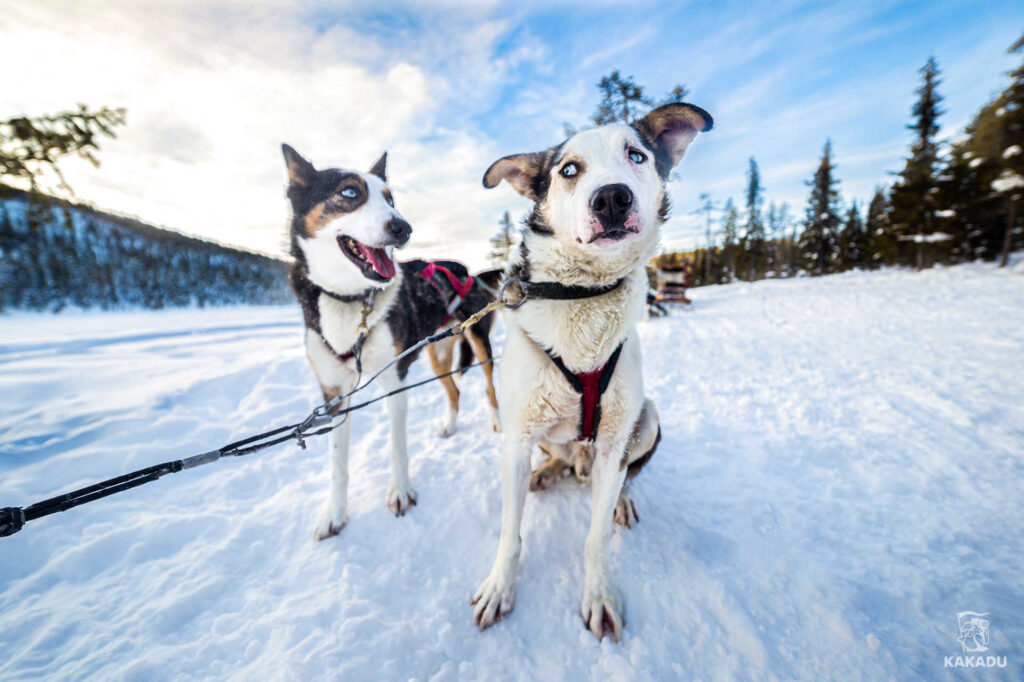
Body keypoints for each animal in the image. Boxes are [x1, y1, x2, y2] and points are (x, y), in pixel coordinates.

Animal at [284, 143, 499, 536]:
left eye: (390, 199)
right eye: (349, 193)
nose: (403, 227)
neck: (351, 300)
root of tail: (467, 271)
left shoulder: (395, 381)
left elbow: (398, 447)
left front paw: (400, 493)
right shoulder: (335, 394)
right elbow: (337, 463)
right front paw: (334, 513)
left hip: (477, 340)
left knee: (490, 385)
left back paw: (496, 421)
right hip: (437, 355)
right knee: (455, 390)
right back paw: (449, 425)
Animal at [468, 103, 712, 638]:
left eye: (636, 155)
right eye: (568, 170)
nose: (612, 198)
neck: (581, 293)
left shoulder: (616, 439)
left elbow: (595, 538)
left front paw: (598, 594)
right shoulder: (517, 436)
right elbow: (509, 533)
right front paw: (499, 587)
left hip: (646, 420)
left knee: (623, 473)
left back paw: (618, 498)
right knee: (555, 458)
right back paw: (546, 472)